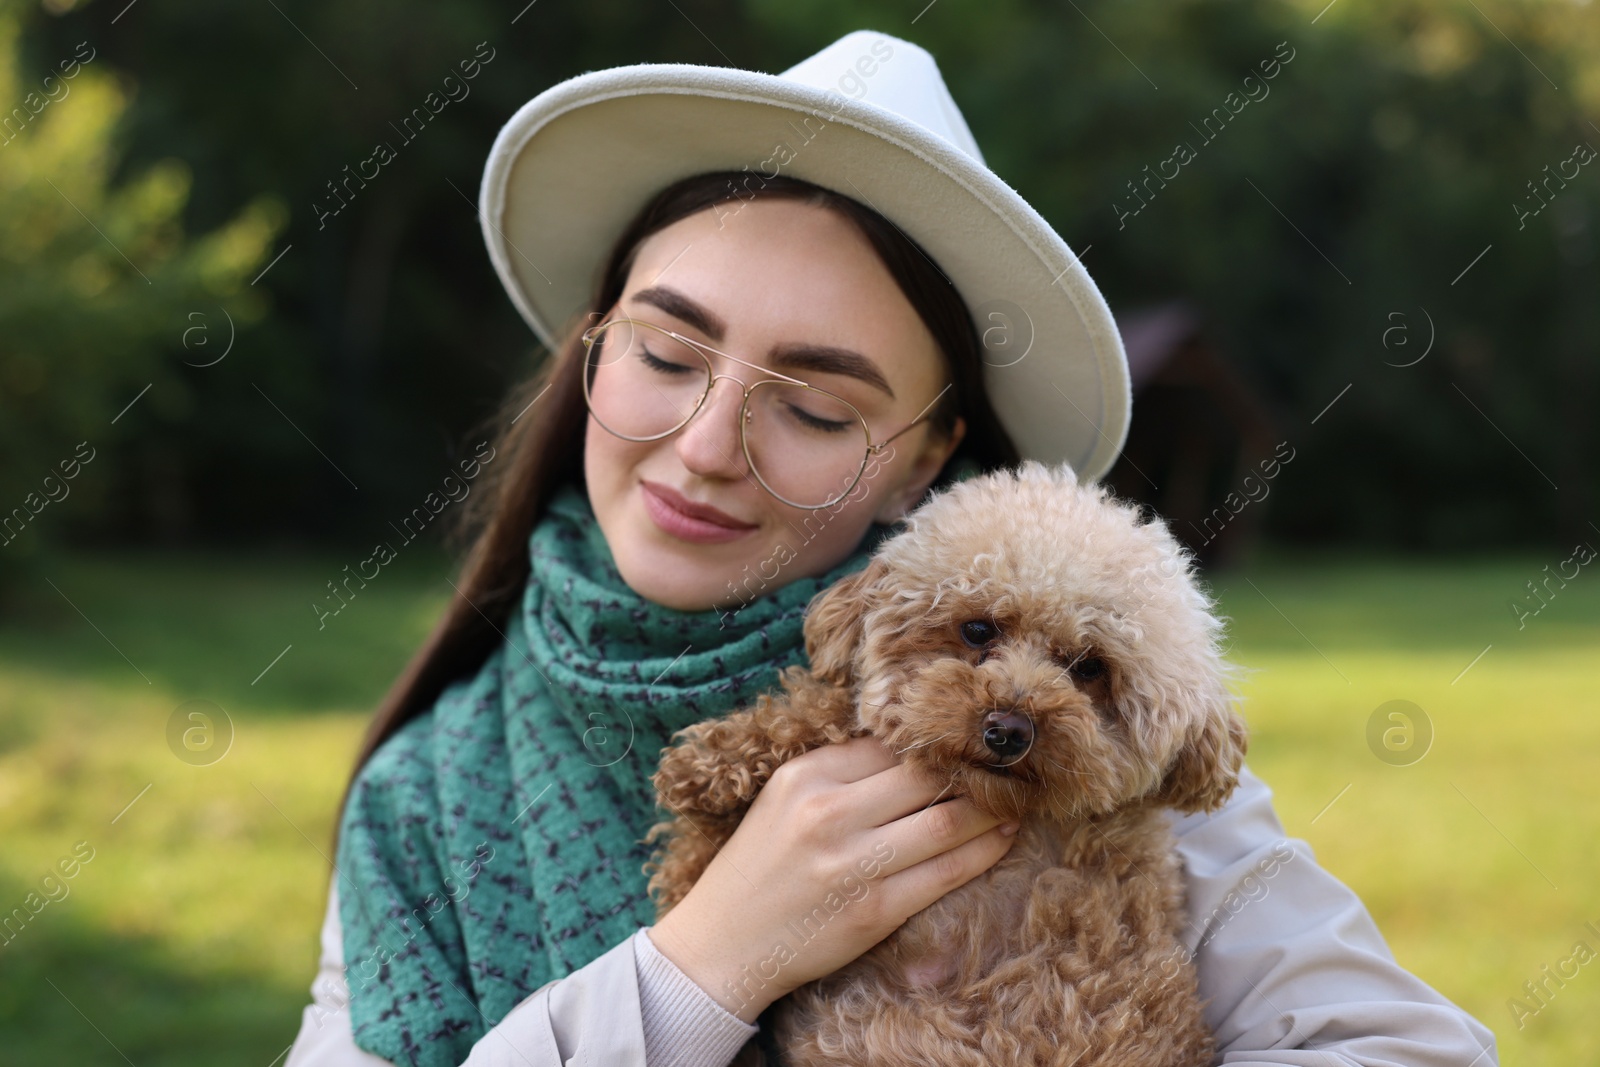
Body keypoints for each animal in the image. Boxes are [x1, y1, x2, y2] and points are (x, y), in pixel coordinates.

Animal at [643, 463, 1241, 1067]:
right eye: (978, 630)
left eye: (1090, 667)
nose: (1008, 731)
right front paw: (709, 784)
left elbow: (836, 711)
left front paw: (705, 768)